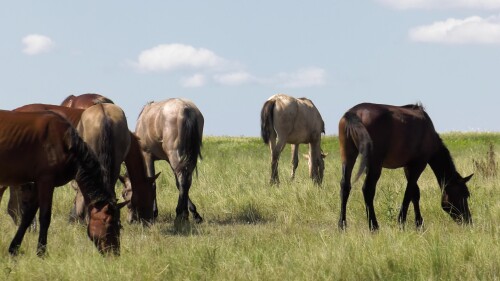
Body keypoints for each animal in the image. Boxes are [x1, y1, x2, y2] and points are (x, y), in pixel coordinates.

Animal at [0, 109, 125, 254]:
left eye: (119, 226)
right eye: (109, 224)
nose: (115, 253)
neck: (65, 143)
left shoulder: (38, 184)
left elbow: (28, 216)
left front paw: (14, 248)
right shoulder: (46, 181)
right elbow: (45, 217)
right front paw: (41, 252)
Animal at [336, 102, 472, 230]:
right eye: (464, 195)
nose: (468, 221)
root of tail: (353, 113)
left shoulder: (408, 166)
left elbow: (415, 194)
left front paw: (419, 223)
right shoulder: (419, 164)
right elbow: (409, 192)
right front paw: (402, 222)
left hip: (347, 156)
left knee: (345, 186)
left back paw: (342, 225)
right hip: (375, 164)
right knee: (368, 189)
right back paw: (374, 226)